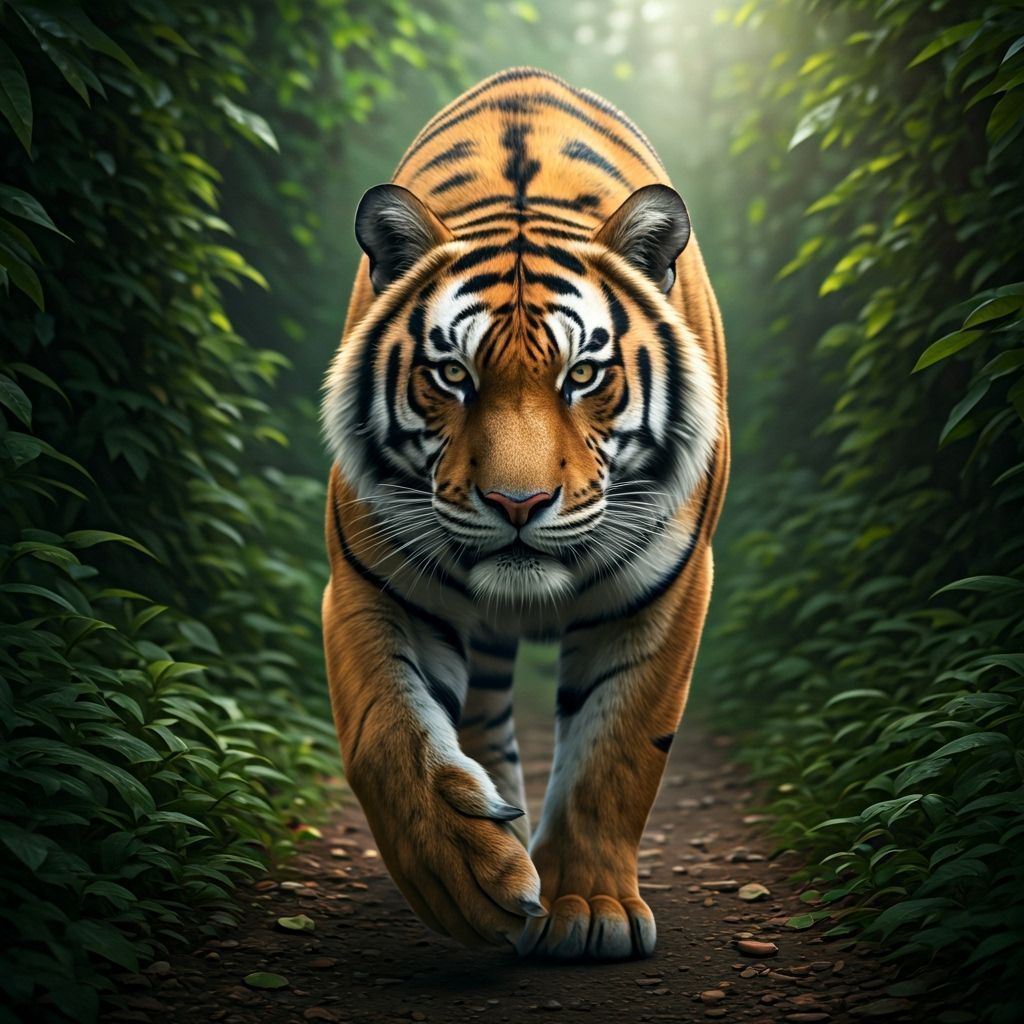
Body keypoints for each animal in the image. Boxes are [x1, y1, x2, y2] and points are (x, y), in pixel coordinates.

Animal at [321, 67, 729, 961]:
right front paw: (463, 877)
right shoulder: (371, 577)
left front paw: (589, 908)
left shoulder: (668, 588)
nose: (518, 503)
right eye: (452, 374)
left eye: (583, 375)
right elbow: (386, 733)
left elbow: (616, 752)